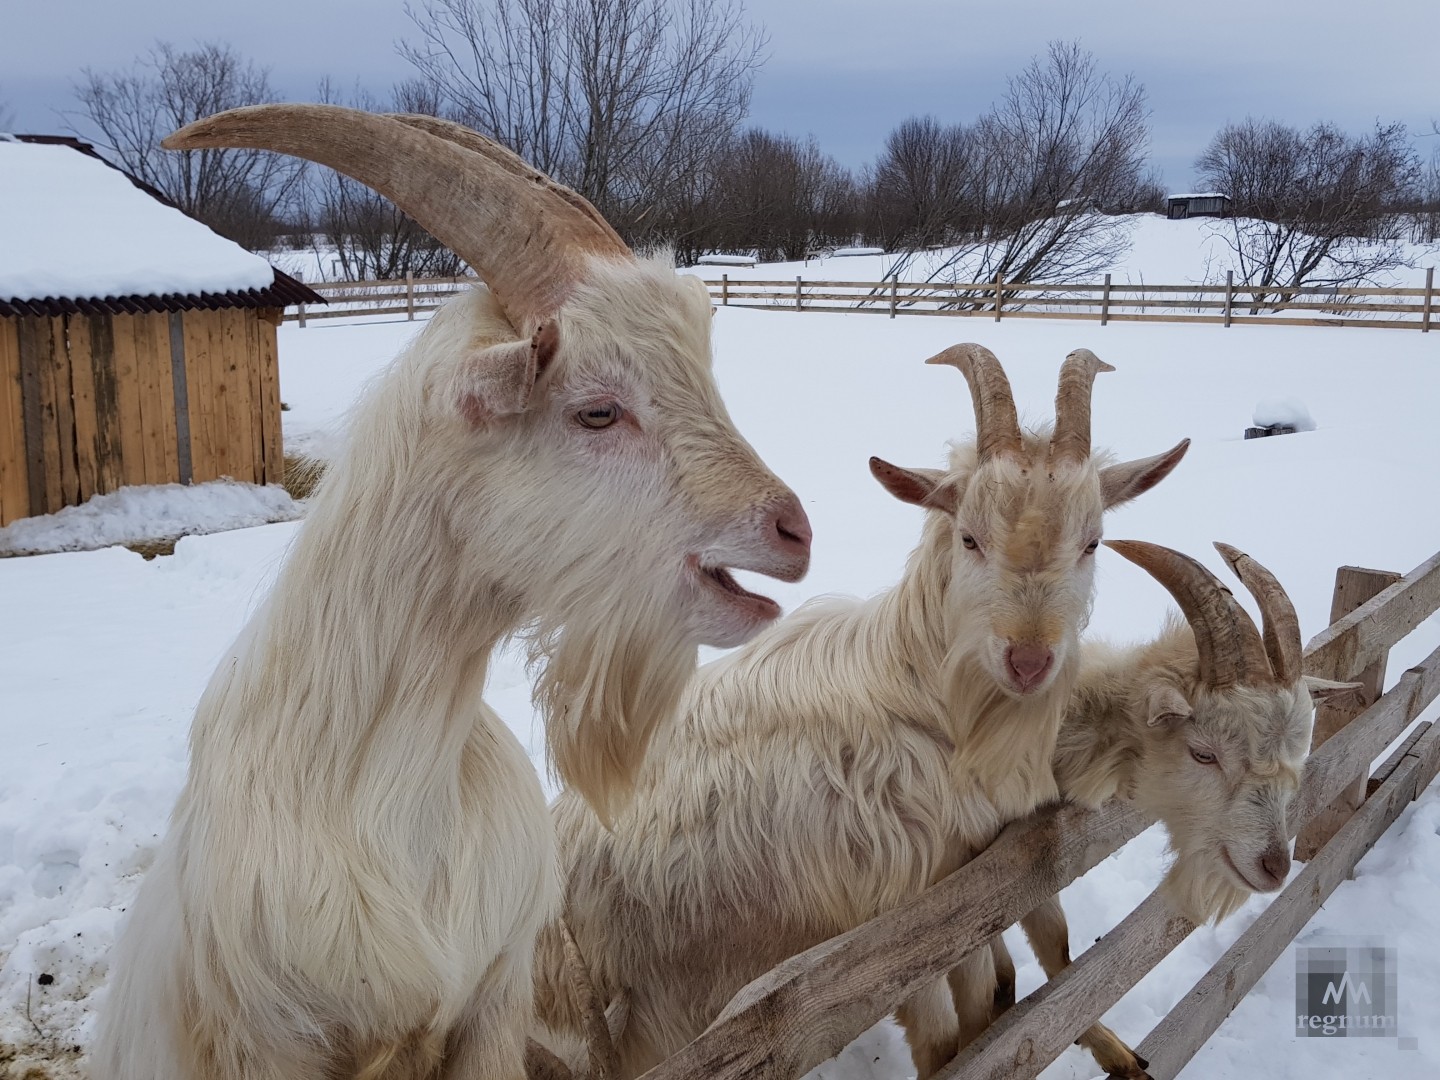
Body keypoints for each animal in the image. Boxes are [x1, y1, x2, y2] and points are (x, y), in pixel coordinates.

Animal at [535, 344, 1186, 1077]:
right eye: (969, 538)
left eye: (1093, 541)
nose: (1028, 659)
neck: (923, 696)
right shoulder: (900, 920)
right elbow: (951, 1036)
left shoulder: (982, 869)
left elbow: (1037, 960)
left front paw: (1114, 1050)